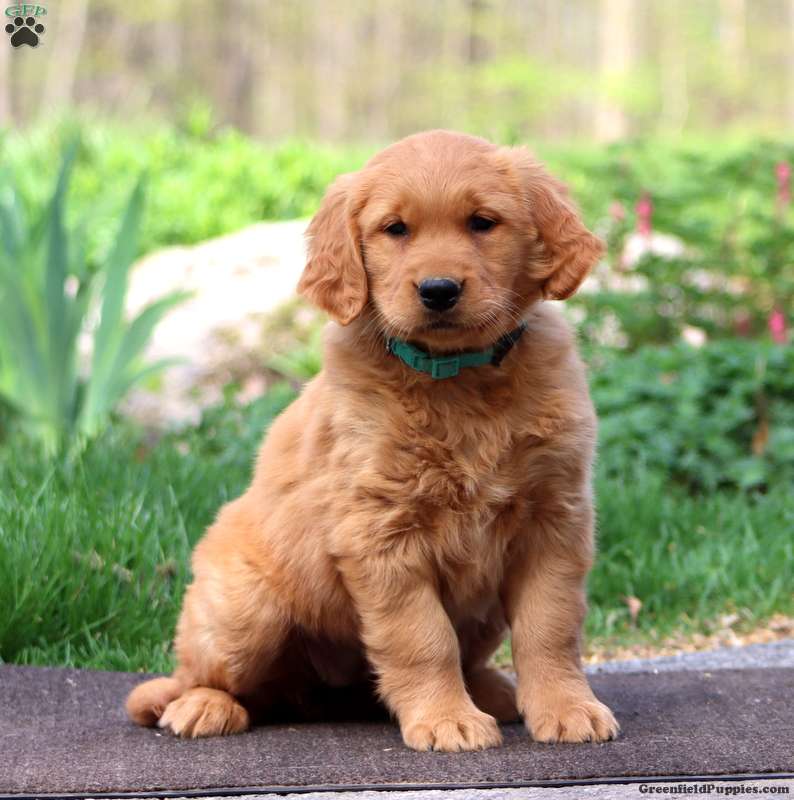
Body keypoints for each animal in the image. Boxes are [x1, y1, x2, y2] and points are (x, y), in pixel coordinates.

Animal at [126, 130, 619, 751]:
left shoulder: (553, 520)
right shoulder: (381, 533)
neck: (456, 380)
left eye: (483, 222)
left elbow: (550, 626)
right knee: (201, 676)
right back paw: (202, 706)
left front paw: (565, 707)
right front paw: (446, 719)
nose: (438, 290)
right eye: (395, 229)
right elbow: (422, 637)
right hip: (244, 610)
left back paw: (489, 690)